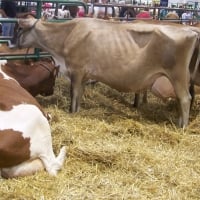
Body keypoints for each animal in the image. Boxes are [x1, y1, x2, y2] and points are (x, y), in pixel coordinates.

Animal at [15, 17, 200, 126]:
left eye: (19, 29)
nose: (12, 43)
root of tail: (189, 31)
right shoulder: (83, 76)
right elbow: (79, 95)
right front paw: (77, 111)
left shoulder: (76, 71)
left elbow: (73, 95)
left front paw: (72, 112)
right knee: (184, 99)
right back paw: (179, 121)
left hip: (178, 76)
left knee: (185, 98)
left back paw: (182, 126)